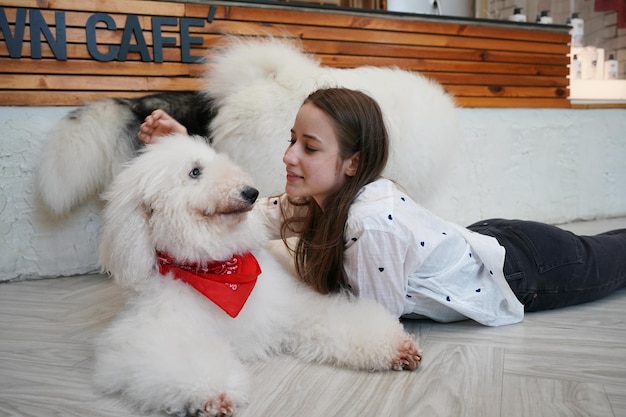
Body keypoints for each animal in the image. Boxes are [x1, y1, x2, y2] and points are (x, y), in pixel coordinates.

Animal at [95, 135, 420, 414]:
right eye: (195, 172)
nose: (251, 193)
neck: (216, 268)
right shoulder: (159, 331)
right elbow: (186, 359)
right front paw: (213, 394)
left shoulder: (293, 307)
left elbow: (338, 320)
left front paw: (396, 347)